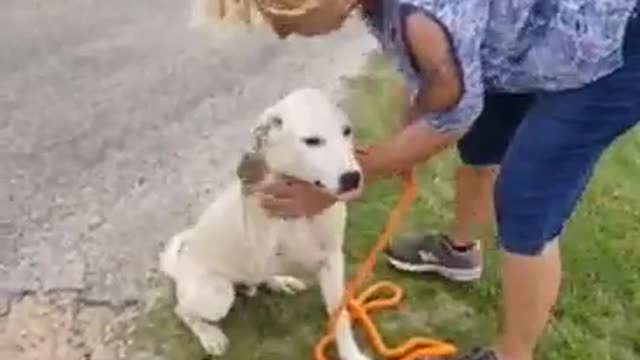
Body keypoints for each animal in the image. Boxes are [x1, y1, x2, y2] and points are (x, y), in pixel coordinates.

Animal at [160, 88, 370, 360]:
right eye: (312, 141)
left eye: (346, 131)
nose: (352, 178)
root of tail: (180, 264)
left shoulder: (332, 260)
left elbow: (339, 314)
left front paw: (350, 353)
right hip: (216, 295)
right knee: (183, 310)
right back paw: (210, 336)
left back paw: (280, 282)